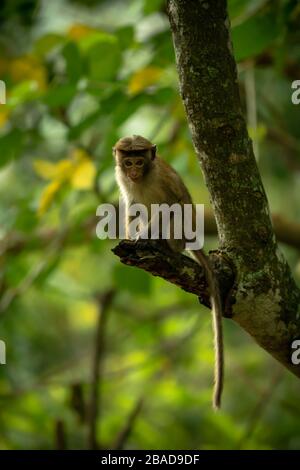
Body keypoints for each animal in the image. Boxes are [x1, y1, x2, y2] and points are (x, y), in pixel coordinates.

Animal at [113, 135, 224, 408]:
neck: (144, 177)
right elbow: (132, 206)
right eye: (128, 161)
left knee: (175, 213)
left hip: (180, 234)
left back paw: (161, 244)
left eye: (139, 161)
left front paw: (143, 238)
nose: (133, 171)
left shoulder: (161, 178)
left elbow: (172, 205)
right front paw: (130, 235)